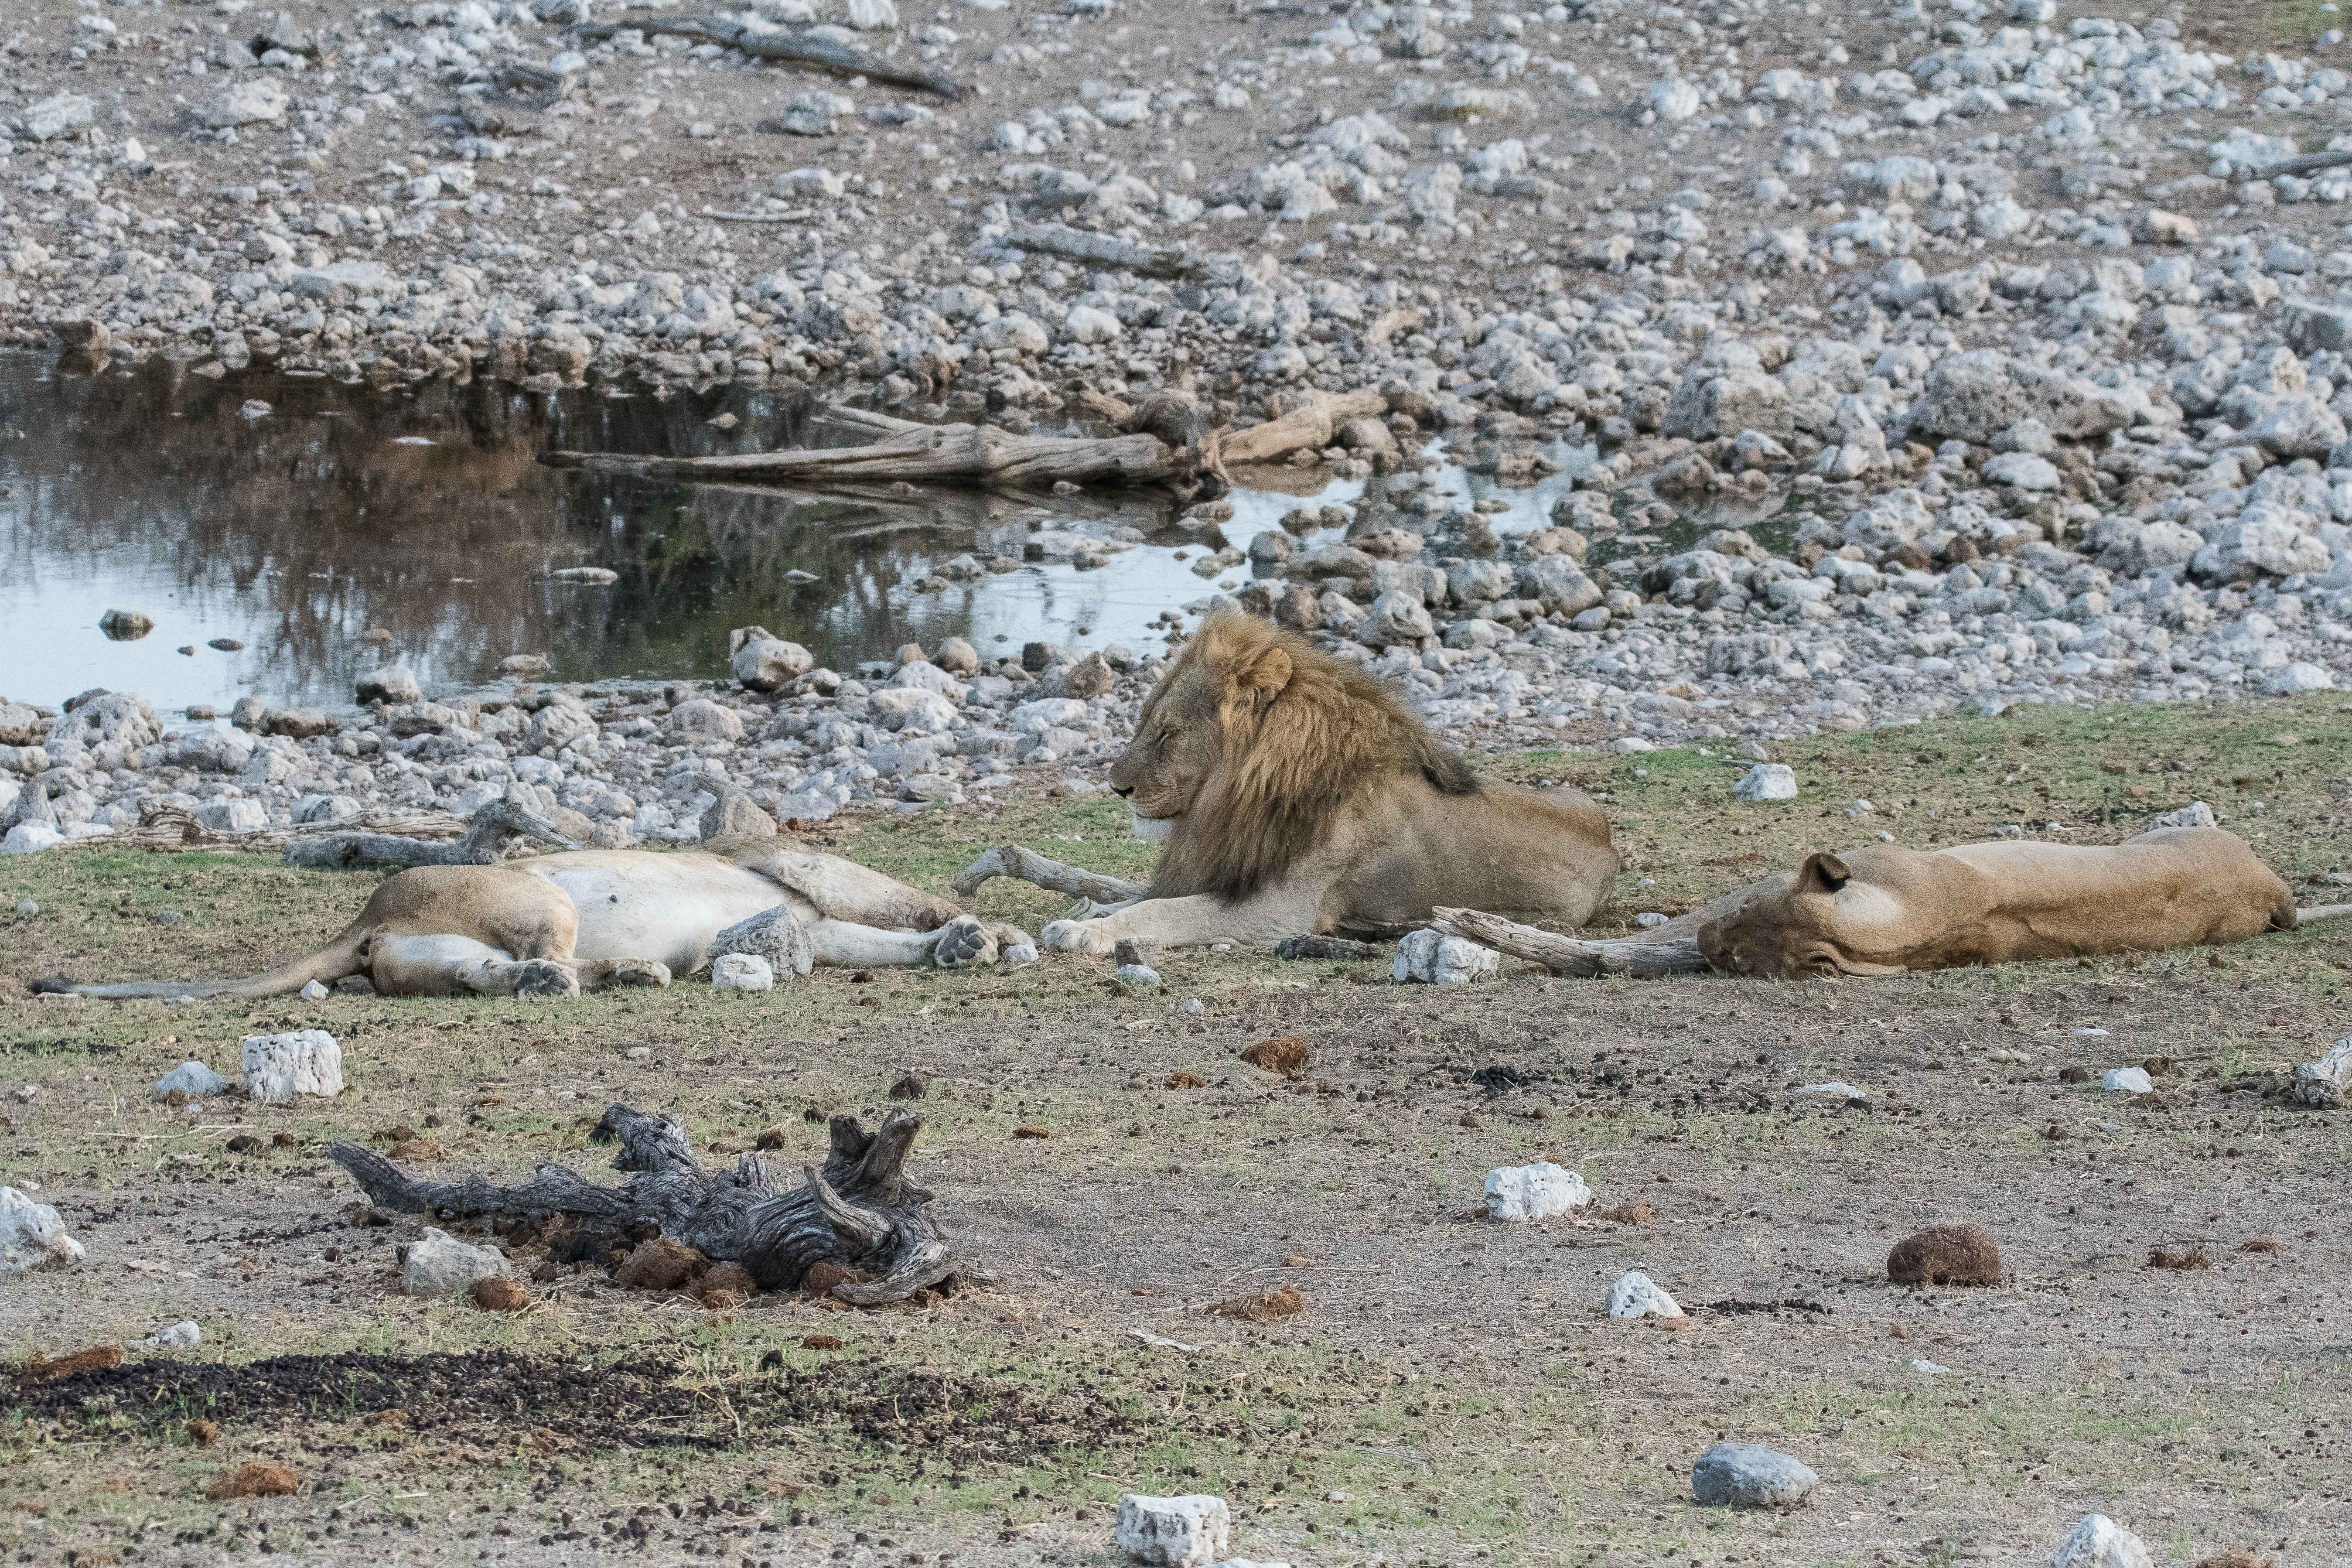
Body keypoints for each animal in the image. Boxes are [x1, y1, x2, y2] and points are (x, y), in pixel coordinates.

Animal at [1044, 611, 1618, 959]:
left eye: (1168, 733)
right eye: (1145, 723)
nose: (1115, 787)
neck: (1232, 799)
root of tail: (1611, 843)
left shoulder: (1282, 910)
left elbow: (1162, 910)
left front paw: (1084, 932)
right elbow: (1140, 899)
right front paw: (1084, 913)